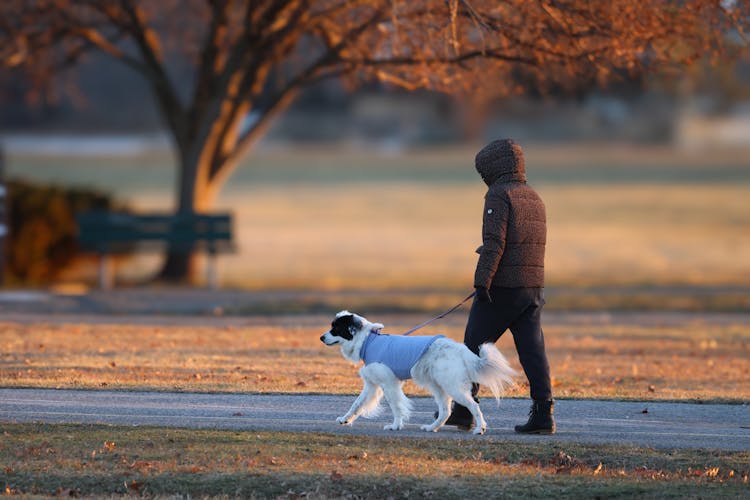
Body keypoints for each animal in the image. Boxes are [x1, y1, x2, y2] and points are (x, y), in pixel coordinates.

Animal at [320, 308, 520, 434]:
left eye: (335, 328)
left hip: (452, 387)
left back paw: (480, 429)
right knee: (445, 411)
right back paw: (432, 428)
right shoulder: (372, 385)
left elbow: (396, 406)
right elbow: (357, 404)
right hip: (438, 387)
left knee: (474, 406)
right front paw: (345, 419)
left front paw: (395, 426)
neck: (369, 341)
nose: (321, 337)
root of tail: (459, 349)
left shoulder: (389, 384)